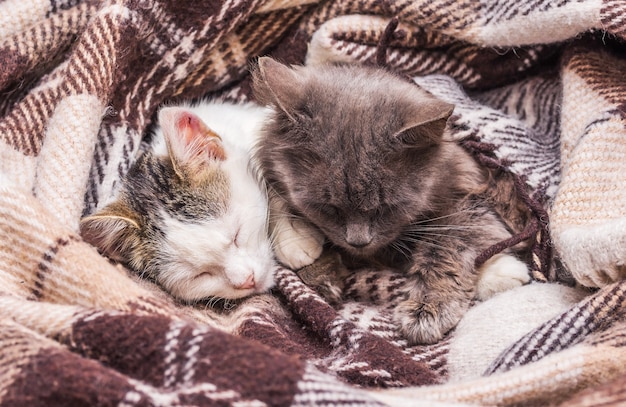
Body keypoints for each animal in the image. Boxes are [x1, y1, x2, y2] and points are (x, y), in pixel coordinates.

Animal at [251, 57, 528, 344]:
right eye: (328, 208)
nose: (358, 242)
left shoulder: (474, 198)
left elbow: (444, 249)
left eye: (386, 209)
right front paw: (314, 264)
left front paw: (426, 308)